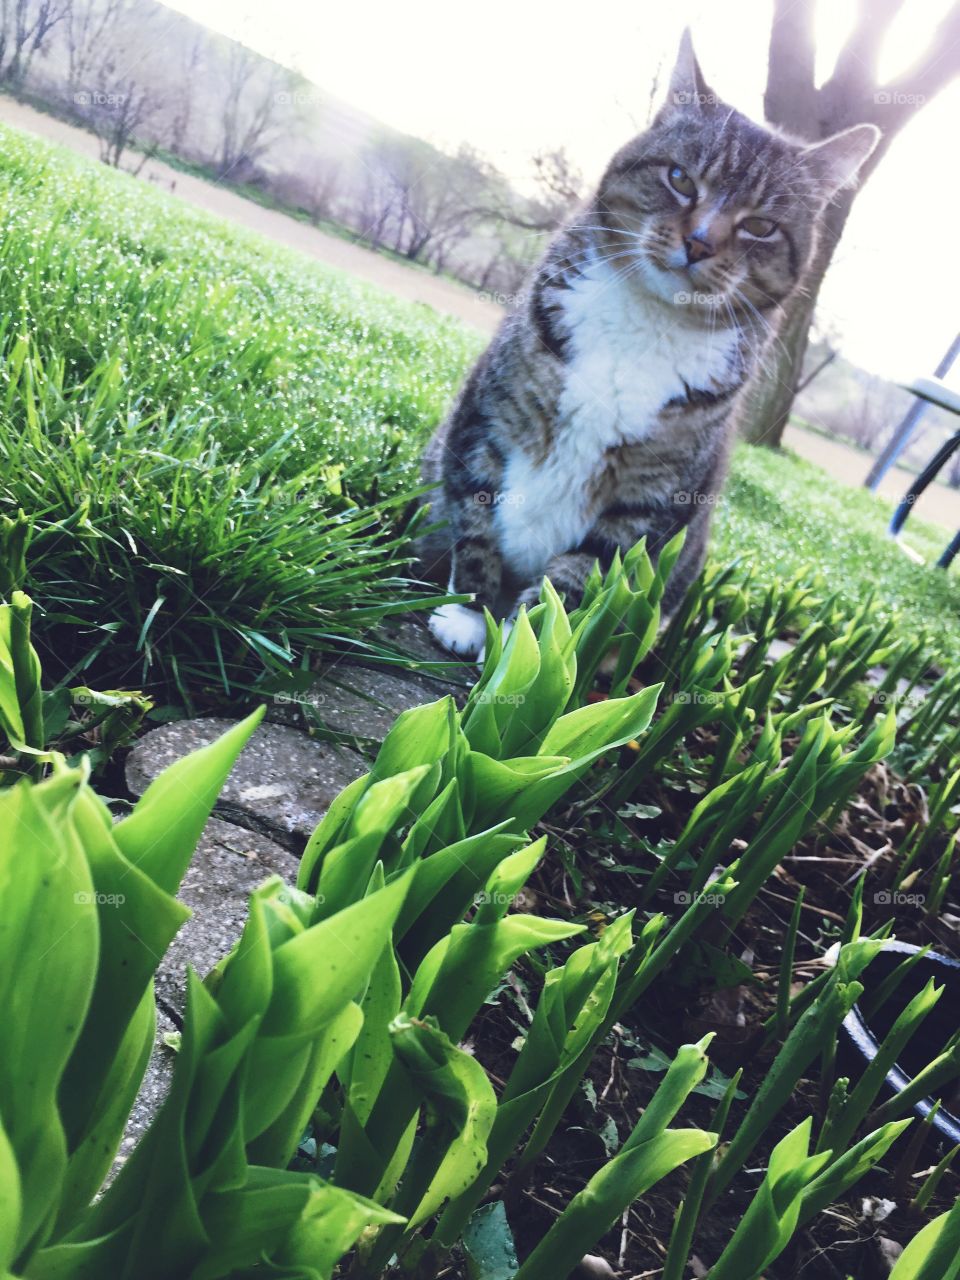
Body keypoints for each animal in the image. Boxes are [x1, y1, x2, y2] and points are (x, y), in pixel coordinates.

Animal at [419, 35, 880, 655]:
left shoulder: (650, 503)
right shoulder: (486, 419)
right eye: (680, 178)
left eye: (761, 226)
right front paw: (470, 612)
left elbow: (577, 577)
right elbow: (476, 517)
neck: (645, 324)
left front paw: (529, 649)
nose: (700, 242)